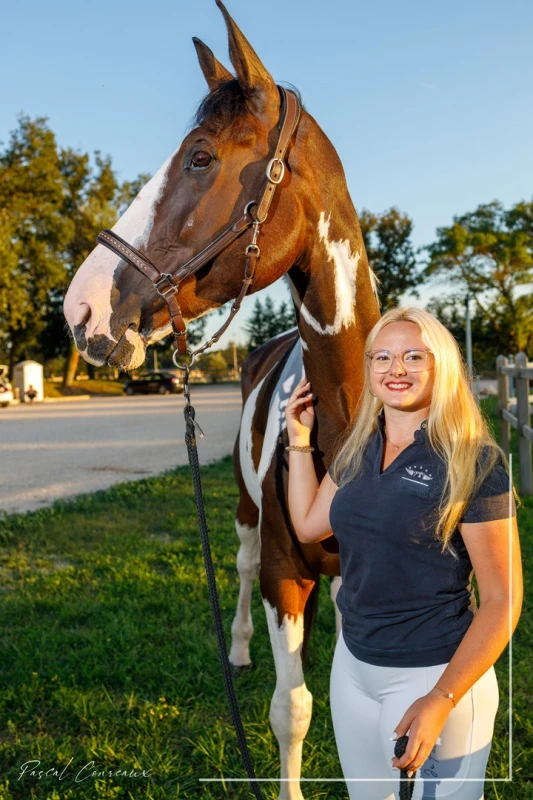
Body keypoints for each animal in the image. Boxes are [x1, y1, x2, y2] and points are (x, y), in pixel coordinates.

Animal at [63, 2, 381, 797]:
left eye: (201, 157)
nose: (81, 308)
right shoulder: (280, 573)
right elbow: (290, 709)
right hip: (240, 510)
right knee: (235, 566)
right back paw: (237, 649)